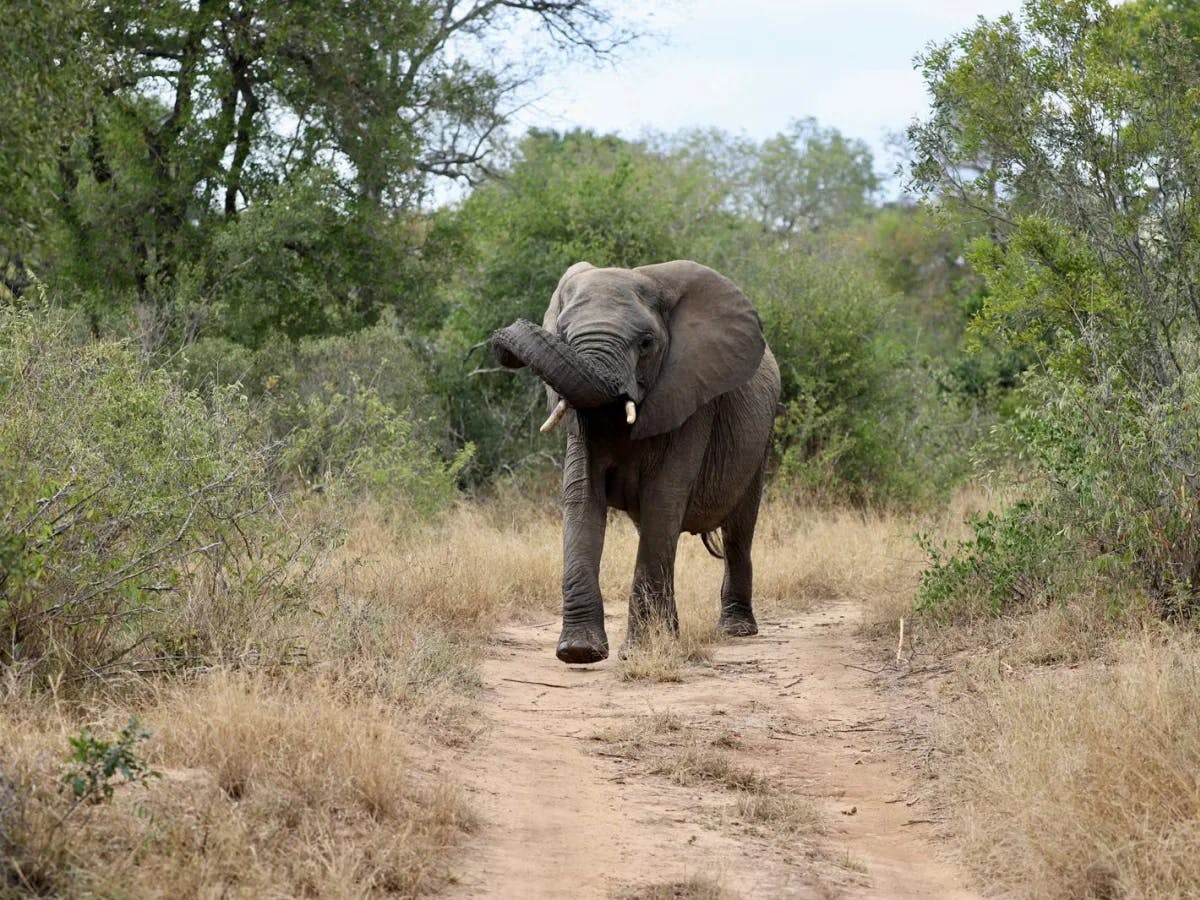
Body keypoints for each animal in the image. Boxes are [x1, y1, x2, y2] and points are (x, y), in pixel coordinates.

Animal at [492, 256, 782, 667]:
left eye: (646, 343)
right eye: (562, 333)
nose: (502, 345)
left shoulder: (690, 398)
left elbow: (664, 498)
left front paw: (641, 651)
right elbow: (582, 499)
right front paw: (579, 652)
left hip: (761, 439)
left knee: (738, 530)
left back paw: (736, 630)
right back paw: (672, 634)